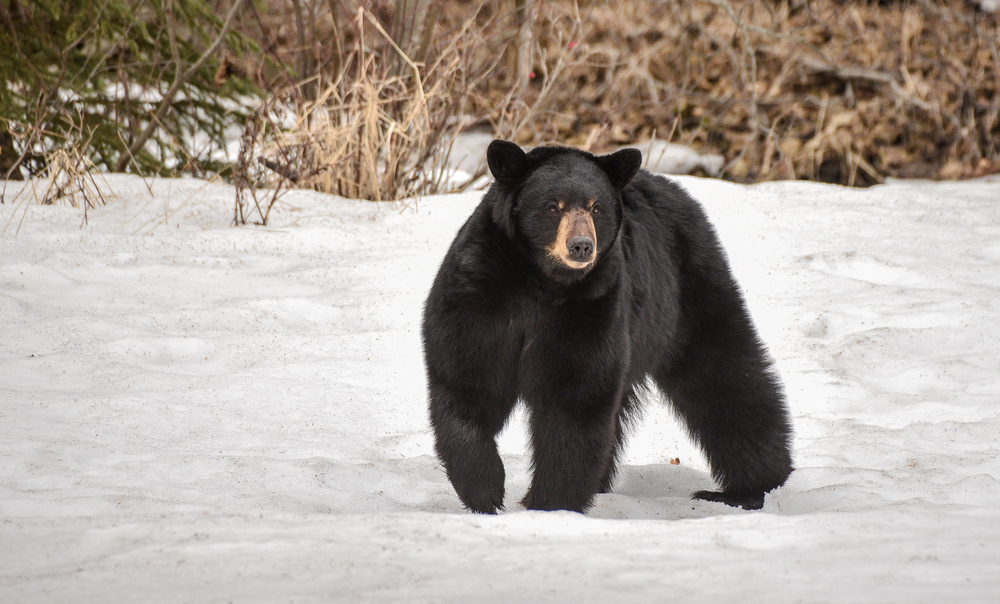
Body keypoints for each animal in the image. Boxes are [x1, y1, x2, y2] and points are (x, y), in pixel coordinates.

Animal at [418, 142, 792, 516]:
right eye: (553, 206)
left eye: (596, 207)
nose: (581, 245)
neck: (542, 281)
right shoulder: (480, 292)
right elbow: (468, 381)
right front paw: (485, 491)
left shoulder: (592, 304)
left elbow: (574, 393)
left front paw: (550, 503)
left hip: (686, 294)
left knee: (725, 373)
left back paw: (750, 487)